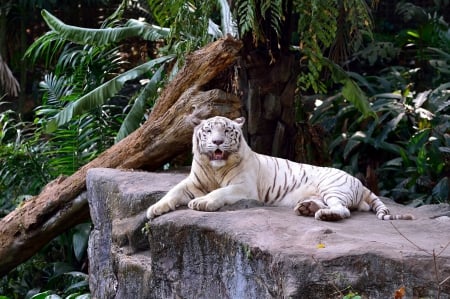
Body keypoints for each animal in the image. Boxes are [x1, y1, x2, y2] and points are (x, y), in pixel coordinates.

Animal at [146, 116, 414, 221]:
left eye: (227, 131)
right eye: (209, 131)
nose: (218, 142)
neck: (215, 168)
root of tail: (360, 182)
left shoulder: (244, 187)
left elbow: (220, 192)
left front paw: (202, 203)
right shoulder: (193, 182)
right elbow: (172, 192)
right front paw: (154, 209)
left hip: (333, 187)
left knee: (344, 210)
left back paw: (323, 215)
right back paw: (306, 208)